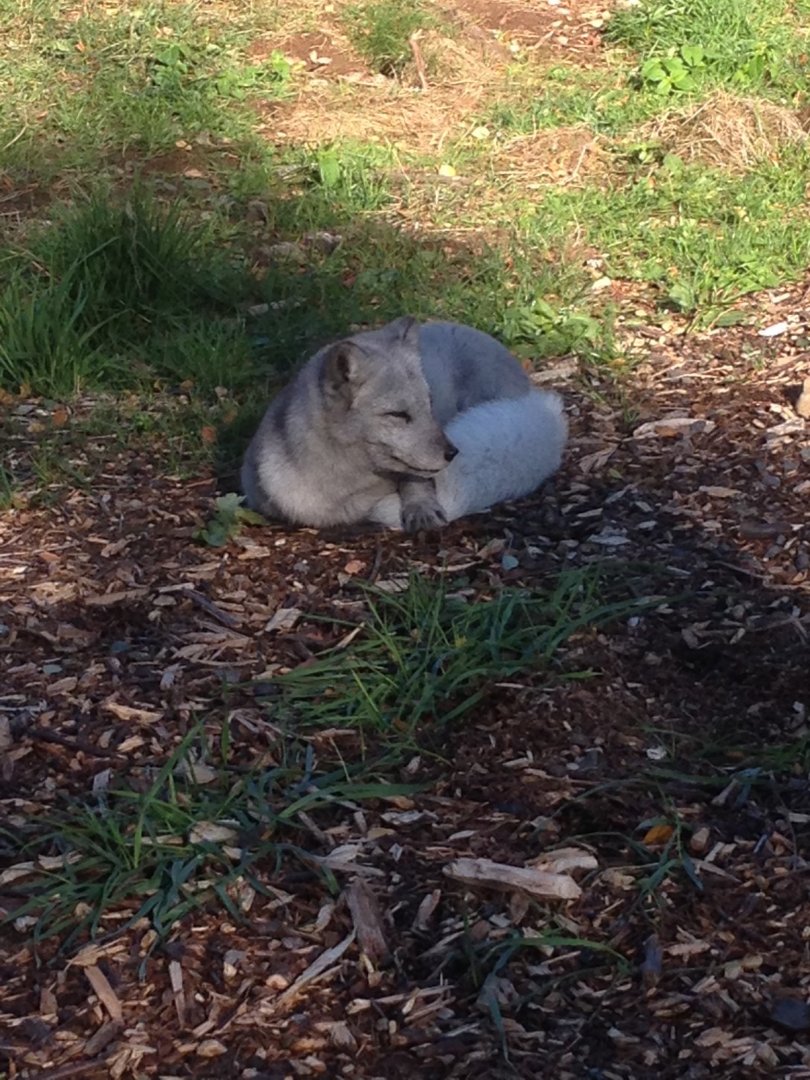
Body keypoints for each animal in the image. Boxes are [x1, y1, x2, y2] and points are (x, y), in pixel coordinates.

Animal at [240, 316, 567, 531]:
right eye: (398, 415)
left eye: (429, 405)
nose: (453, 453)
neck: (348, 489)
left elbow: (415, 478)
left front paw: (420, 507)